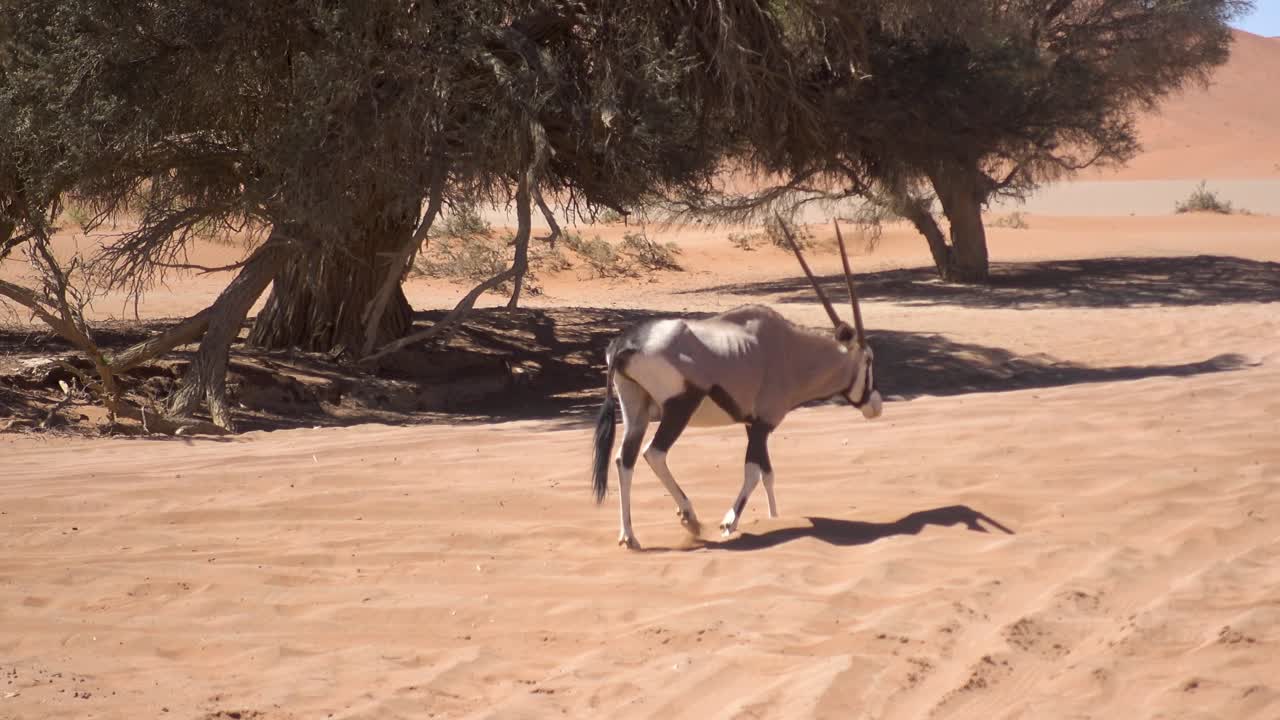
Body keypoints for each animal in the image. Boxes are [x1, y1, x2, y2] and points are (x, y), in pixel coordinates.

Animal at [590, 218, 883, 549]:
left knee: (623, 459)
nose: (875, 405)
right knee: (654, 453)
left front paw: (774, 517)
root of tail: (625, 344)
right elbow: (754, 471)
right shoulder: (763, 424)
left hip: (634, 408)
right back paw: (690, 518)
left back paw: (629, 536)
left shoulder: (752, 424)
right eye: (869, 360)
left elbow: (768, 472)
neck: (790, 351)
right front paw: (729, 523)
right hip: (679, 408)